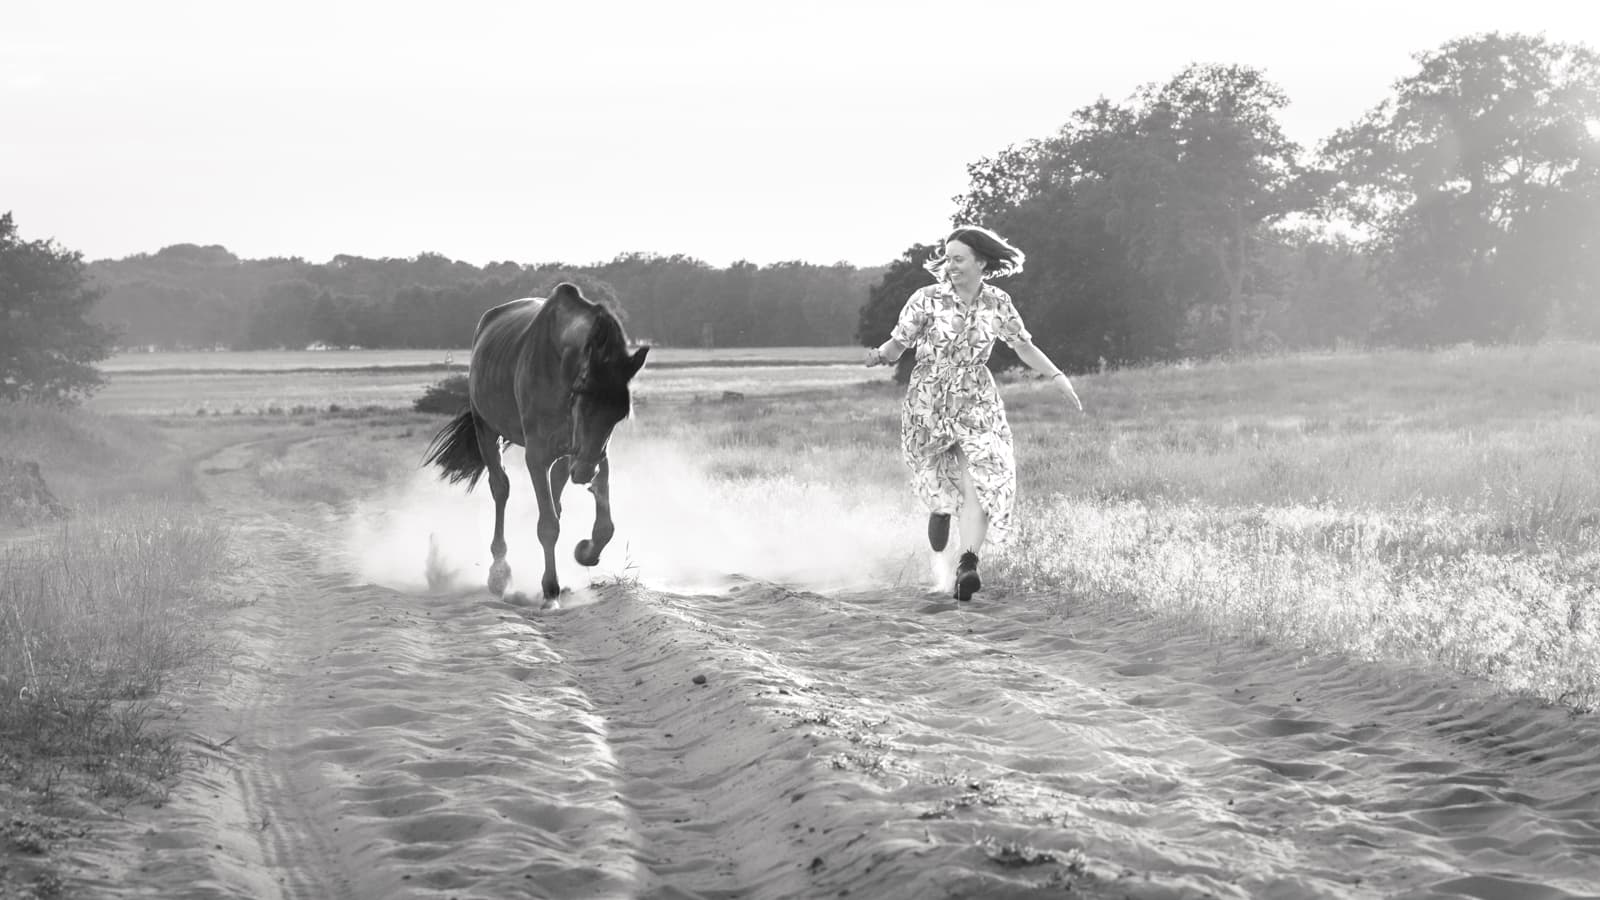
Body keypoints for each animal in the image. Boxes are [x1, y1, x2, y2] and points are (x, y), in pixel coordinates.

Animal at [423, 282, 648, 606]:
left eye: (620, 413)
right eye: (582, 393)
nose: (584, 474)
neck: (560, 365)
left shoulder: (592, 452)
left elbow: (604, 525)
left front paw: (585, 551)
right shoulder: (538, 455)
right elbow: (548, 525)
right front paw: (550, 590)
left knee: (556, 491)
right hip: (486, 430)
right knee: (501, 488)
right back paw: (499, 573)